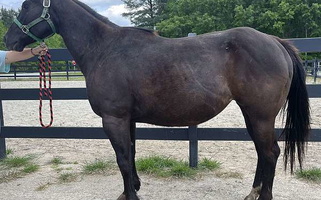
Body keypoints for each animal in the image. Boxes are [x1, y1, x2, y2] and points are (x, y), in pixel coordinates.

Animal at [3, 0, 308, 200]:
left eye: (25, 6)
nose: (8, 40)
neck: (104, 49)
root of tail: (274, 41)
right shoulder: (127, 119)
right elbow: (131, 154)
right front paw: (132, 189)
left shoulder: (113, 119)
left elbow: (122, 159)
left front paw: (131, 196)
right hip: (252, 114)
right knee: (262, 152)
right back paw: (253, 191)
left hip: (260, 115)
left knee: (270, 153)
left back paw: (262, 195)